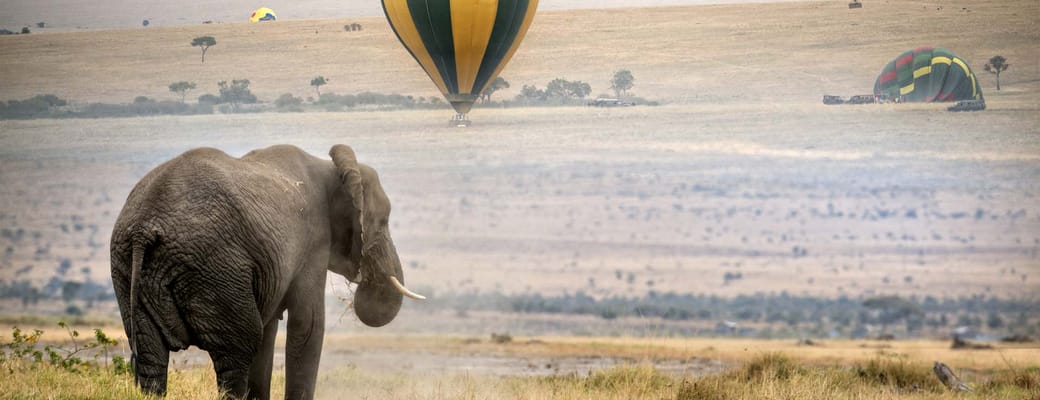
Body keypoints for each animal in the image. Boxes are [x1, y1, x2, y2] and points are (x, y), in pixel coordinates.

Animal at [110, 144, 424, 399]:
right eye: (383, 222)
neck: (331, 167)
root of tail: (143, 228)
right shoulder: (313, 243)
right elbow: (308, 326)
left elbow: (270, 330)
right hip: (214, 267)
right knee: (238, 351)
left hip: (128, 269)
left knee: (151, 358)